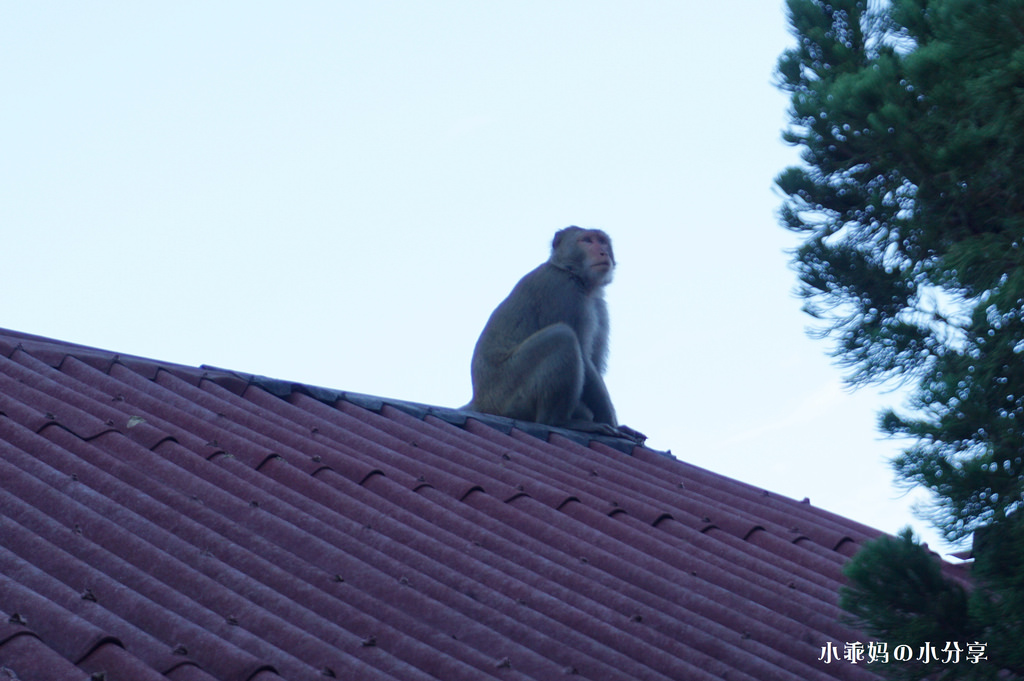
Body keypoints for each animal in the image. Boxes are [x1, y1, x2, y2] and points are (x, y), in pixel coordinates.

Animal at [468, 225, 618, 432]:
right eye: (587, 240)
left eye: (602, 241)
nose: (603, 252)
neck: (570, 271)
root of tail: (479, 399)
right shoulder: (562, 290)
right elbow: (585, 359)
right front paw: (608, 418)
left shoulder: (598, 306)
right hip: (507, 392)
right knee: (562, 336)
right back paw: (558, 421)